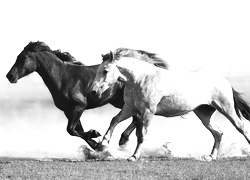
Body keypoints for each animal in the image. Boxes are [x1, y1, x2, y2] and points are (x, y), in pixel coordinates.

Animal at [5, 41, 140, 150]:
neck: (63, 78)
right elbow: (76, 130)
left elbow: (71, 129)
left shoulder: (79, 106)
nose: (9, 76)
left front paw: (94, 134)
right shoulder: (68, 110)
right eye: (18, 57)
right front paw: (96, 144)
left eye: (23, 57)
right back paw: (123, 140)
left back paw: (123, 139)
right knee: (136, 117)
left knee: (137, 116)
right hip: (118, 102)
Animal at [91, 48, 250, 162]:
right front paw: (103, 144)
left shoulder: (148, 111)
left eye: (105, 71)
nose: (94, 91)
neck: (141, 79)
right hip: (204, 113)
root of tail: (224, 79)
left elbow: (141, 134)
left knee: (241, 127)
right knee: (218, 133)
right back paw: (210, 157)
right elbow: (115, 120)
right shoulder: (130, 108)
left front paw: (134, 156)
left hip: (226, 108)